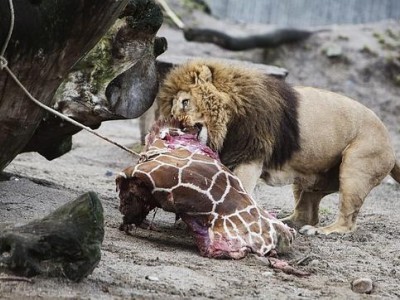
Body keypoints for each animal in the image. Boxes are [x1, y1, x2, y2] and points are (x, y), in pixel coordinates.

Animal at [156, 59, 400, 237]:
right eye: (172, 113)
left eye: (185, 102)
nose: (178, 125)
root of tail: (390, 142)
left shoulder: (250, 156)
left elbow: (240, 189)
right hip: (311, 178)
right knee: (306, 214)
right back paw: (285, 223)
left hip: (355, 168)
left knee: (346, 221)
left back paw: (320, 231)